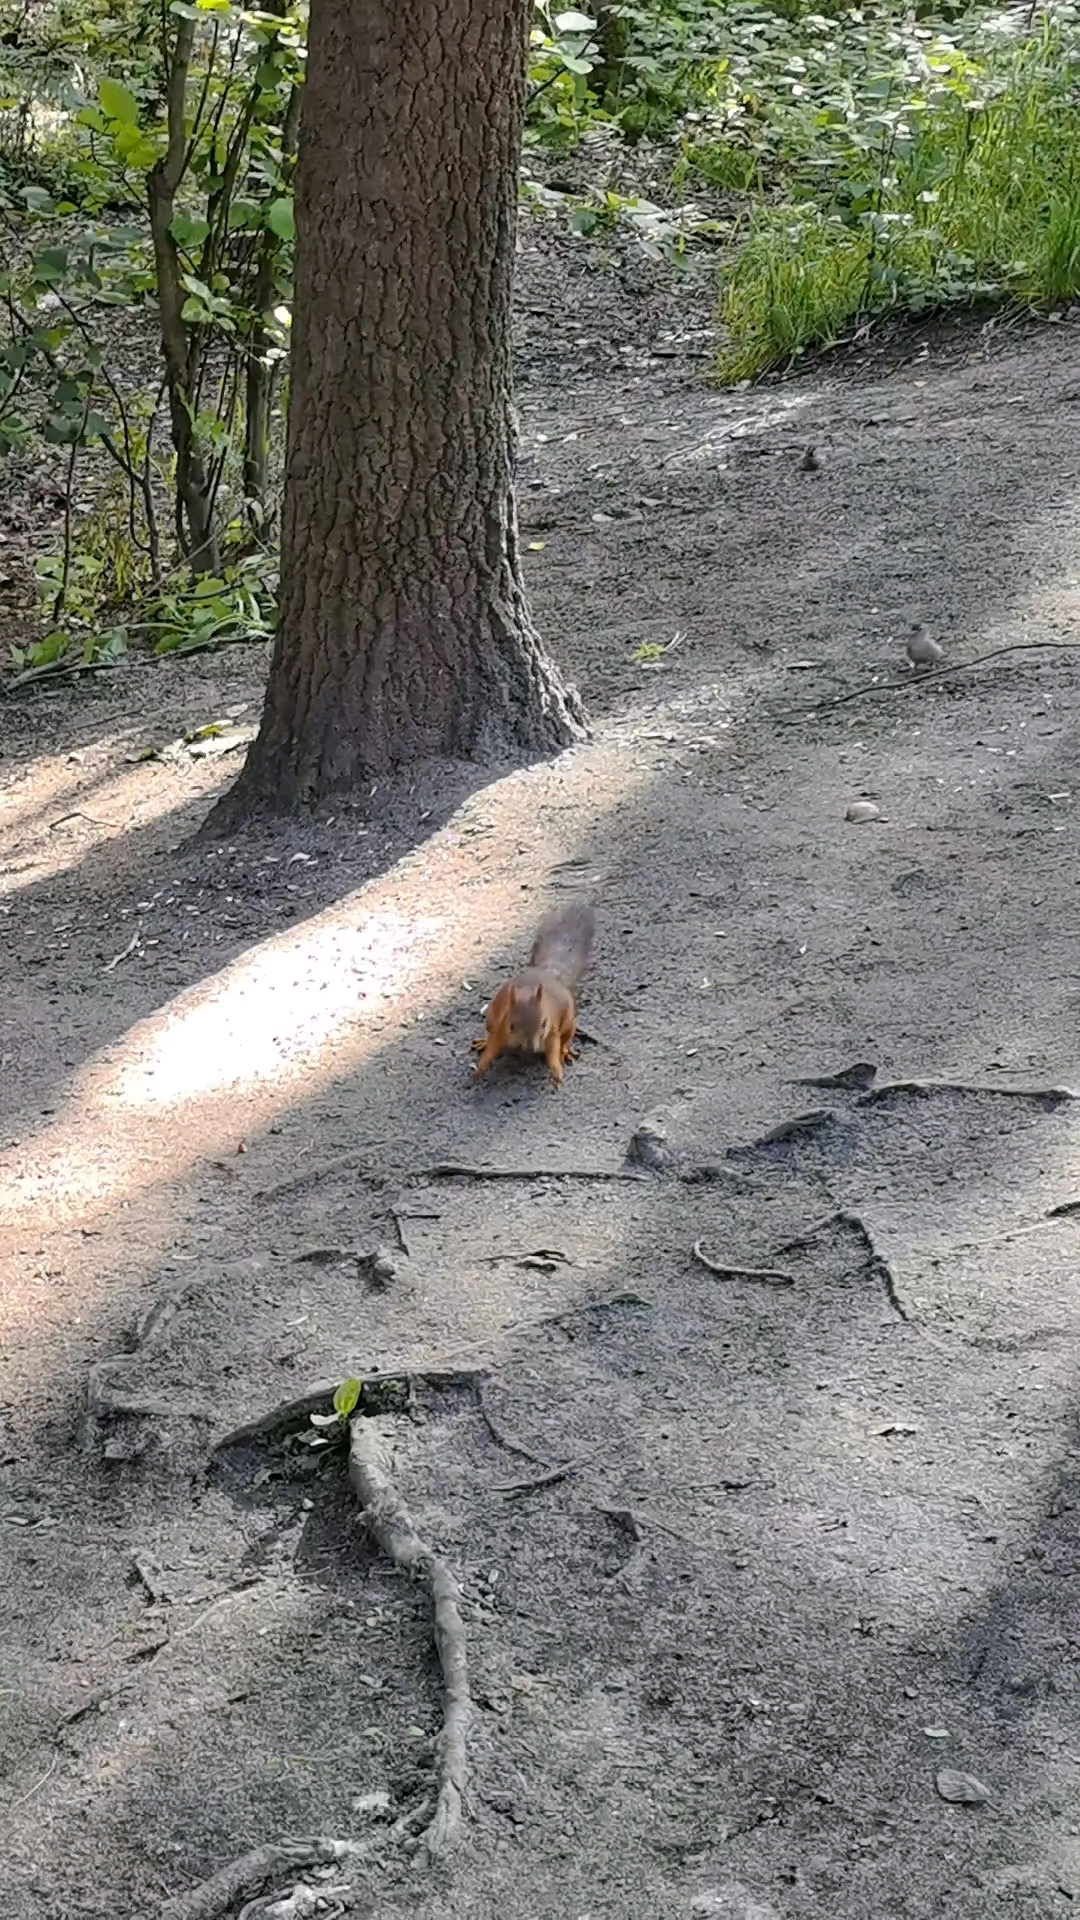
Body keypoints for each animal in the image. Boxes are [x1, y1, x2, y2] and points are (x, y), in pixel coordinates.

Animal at [471, 902, 595, 1089]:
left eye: (544, 1023)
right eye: (512, 1025)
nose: (530, 1048)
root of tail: (548, 972)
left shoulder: (551, 1032)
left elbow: (552, 1051)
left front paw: (556, 1072)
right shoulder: (500, 1027)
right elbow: (492, 1048)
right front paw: (480, 1068)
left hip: (569, 1022)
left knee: (566, 1039)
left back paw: (565, 1051)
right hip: (491, 1018)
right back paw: (483, 1042)